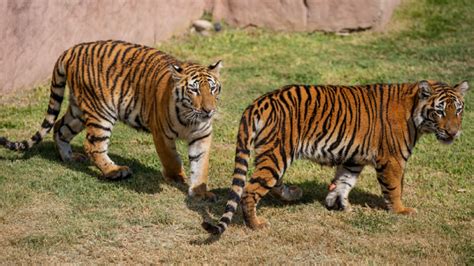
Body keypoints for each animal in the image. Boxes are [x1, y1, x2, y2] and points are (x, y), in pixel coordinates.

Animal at [0, 39, 222, 200]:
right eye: (194, 90)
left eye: (213, 89)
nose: (209, 110)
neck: (190, 117)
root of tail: (71, 49)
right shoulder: (161, 134)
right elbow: (172, 159)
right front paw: (176, 177)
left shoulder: (202, 136)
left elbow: (200, 165)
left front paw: (201, 192)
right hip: (101, 111)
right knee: (93, 145)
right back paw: (115, 171)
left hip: (78, 110)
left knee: (60, 128)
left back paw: (70, 158)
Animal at [202, 80, 468, 234]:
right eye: (440, 111)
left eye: (459, 109)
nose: (453, 132)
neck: (415, 111)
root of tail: (258, 102)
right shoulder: (392, 159)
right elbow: (394, 188)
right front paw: (401, 210)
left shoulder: (353, 158)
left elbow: (344, 181)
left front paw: (338, 203)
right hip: (278, 153)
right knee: (250, 190)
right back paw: (256, 224)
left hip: (272, 154)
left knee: (269, 183)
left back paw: (293, 194)